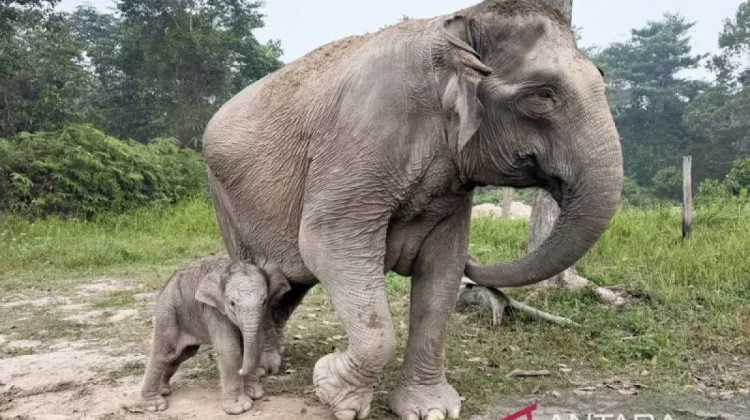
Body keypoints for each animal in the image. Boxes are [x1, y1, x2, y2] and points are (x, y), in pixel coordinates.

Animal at [139, 257, 290, 414]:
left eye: (264, 302)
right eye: (232, 303)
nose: (241, 370)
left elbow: (258, 344)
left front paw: (254, 394)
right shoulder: (214, 310)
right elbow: (229, 349)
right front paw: (240, 407)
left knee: (183, 354)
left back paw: (163, 390)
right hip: (168, 311)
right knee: (166, 352)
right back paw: (155, 405)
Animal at [201, 0, 623, 419]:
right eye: (543, 95)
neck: (455, 28)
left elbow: (443, 269)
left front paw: (428, 410)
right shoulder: (359, 142)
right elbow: (326, 243)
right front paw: (334, 390)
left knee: (291, 282)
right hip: (224, 199)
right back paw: (263, 367)